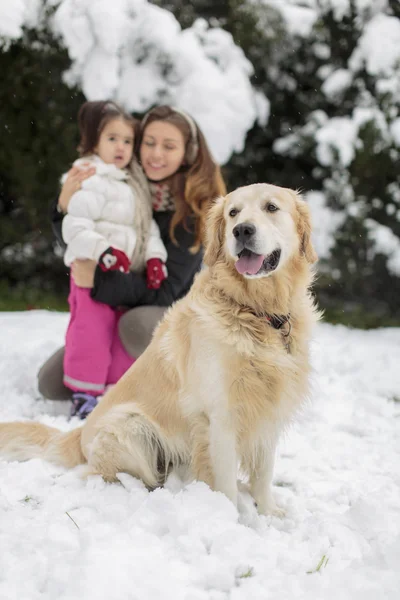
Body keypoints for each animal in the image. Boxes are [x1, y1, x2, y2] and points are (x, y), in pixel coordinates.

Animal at [0, 185, 318, 516]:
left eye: (271, 207)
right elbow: (226, 483)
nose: (241, 230)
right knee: (119, 474)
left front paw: (269, 513)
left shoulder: (269, 410)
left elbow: (263, 473)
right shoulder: (221, 416)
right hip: (130, 427)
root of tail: (80, 433)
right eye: (233, 213)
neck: (257, 311)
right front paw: (230, 519)